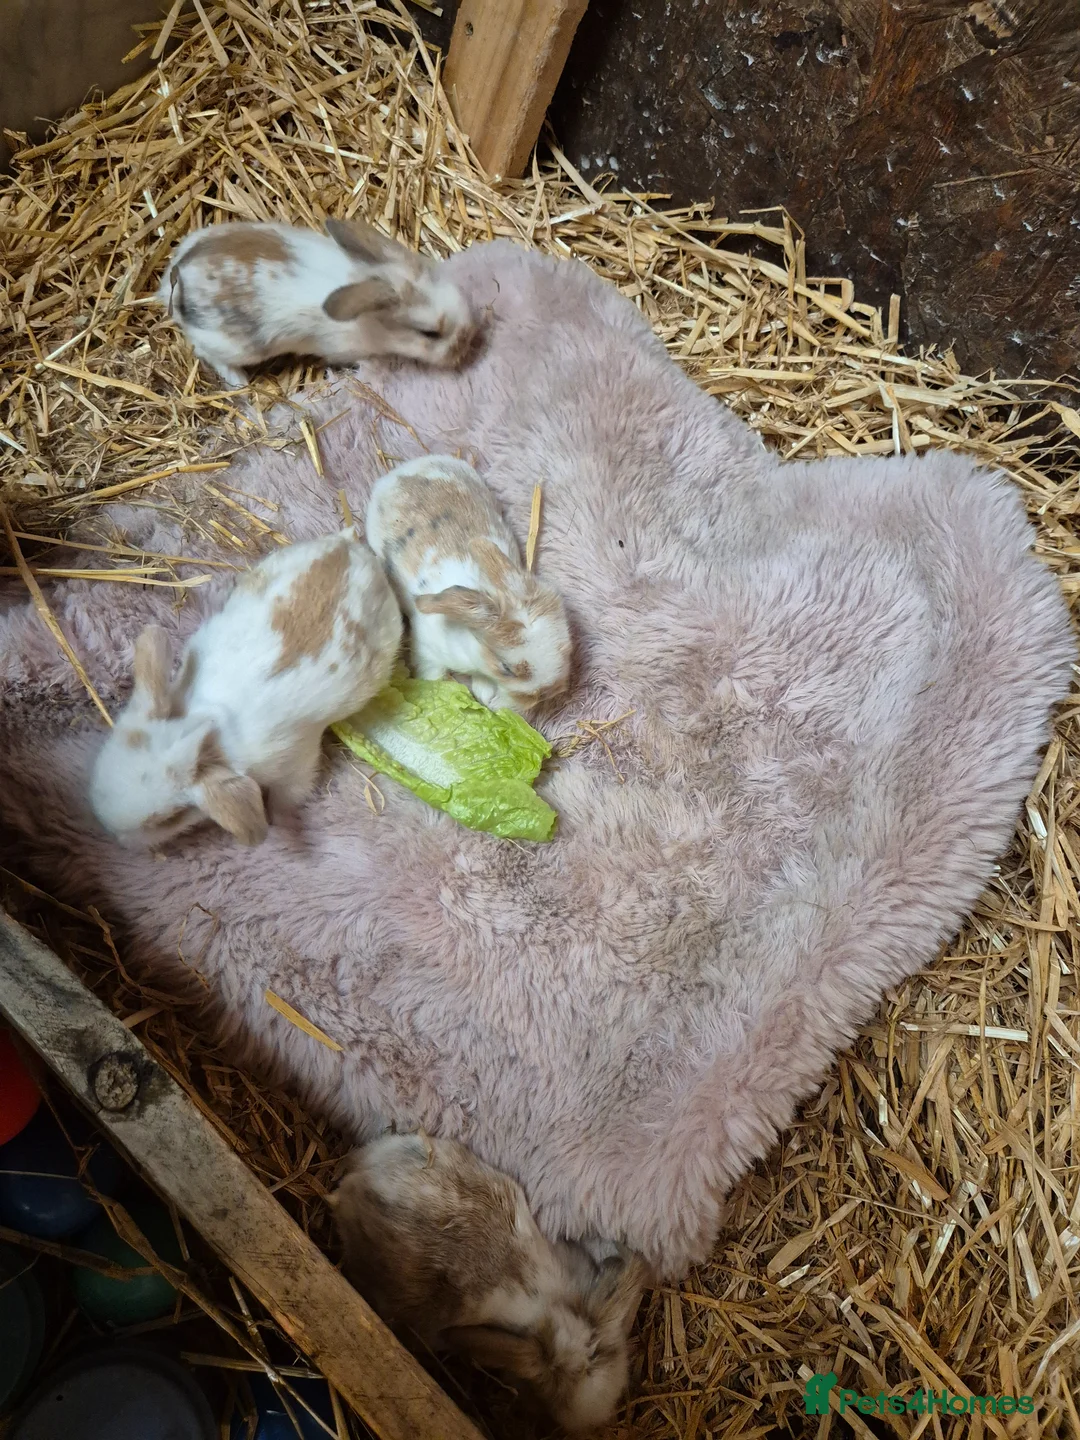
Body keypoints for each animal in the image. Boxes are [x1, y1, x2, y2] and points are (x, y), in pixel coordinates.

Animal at [89, 529, 402, 847]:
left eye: (170, 818)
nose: (118, 838)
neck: (207, 726)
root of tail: (346, 546)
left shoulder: (294, 764)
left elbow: (288, 795)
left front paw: (279, 822)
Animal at [157, 219, 477, 387]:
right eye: (430, 333)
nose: (469, 341)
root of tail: (179, 274)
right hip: (233, 347)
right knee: (205, 352)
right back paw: (240, 381)